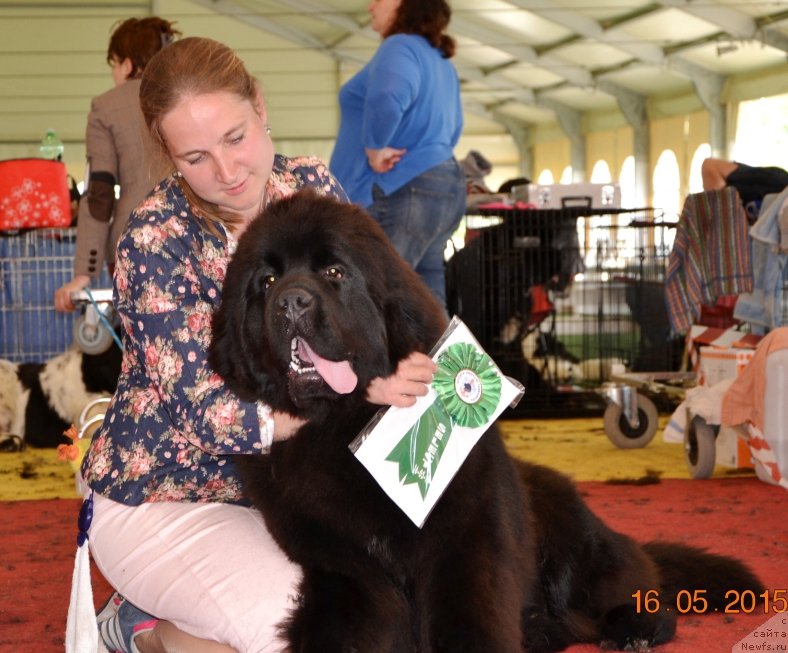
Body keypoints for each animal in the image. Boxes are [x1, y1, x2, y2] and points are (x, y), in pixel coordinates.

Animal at [211, 188, 764, 652]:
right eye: (266, 282)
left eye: (334, 273)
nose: (291, 301)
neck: (345, 426)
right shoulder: (337, 559)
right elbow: (351, 619)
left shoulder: (466, 536)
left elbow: (467, 611)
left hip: (569, 537)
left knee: (630, 583)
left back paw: (635, 626)